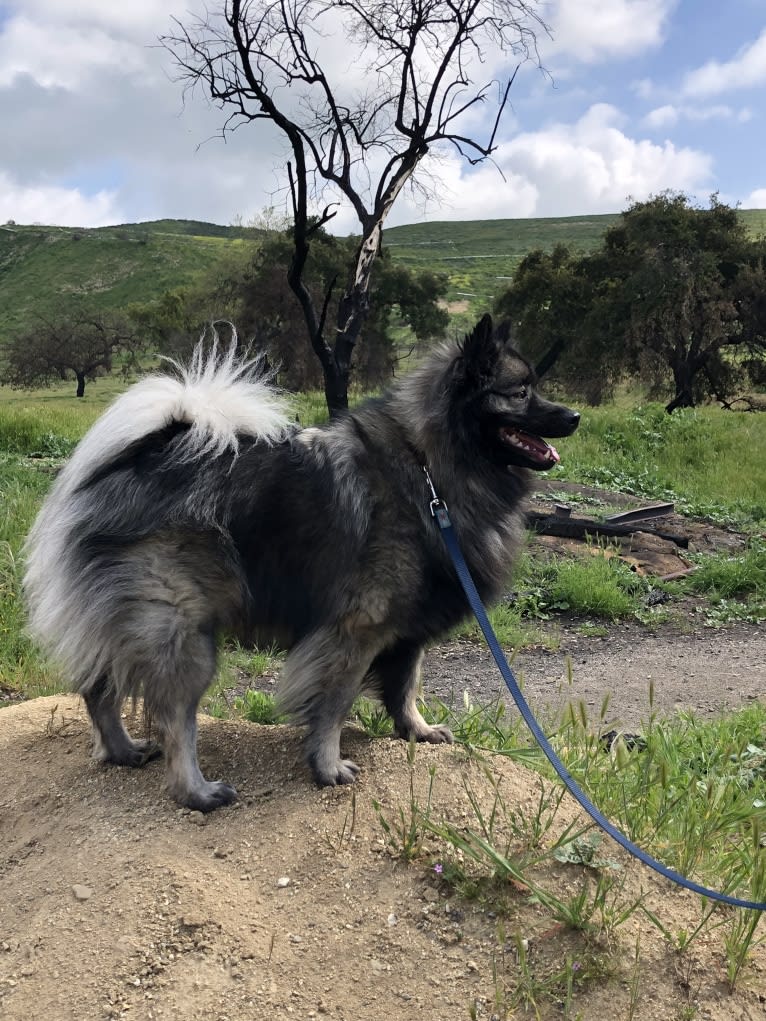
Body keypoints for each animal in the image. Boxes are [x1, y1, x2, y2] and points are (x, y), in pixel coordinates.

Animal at [24, 314, 580, 808]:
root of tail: (143, 455)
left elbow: (405, 688)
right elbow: (334, 706)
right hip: (183, 635)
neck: (427, 470)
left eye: (534, 386)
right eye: (521, 391)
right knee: (174, 720)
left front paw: (416, 731)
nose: (574, 417)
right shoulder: (354, 632)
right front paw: (328, 767)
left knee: (99, 690)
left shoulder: (407, 633)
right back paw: (197, 793)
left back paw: (122, 751)